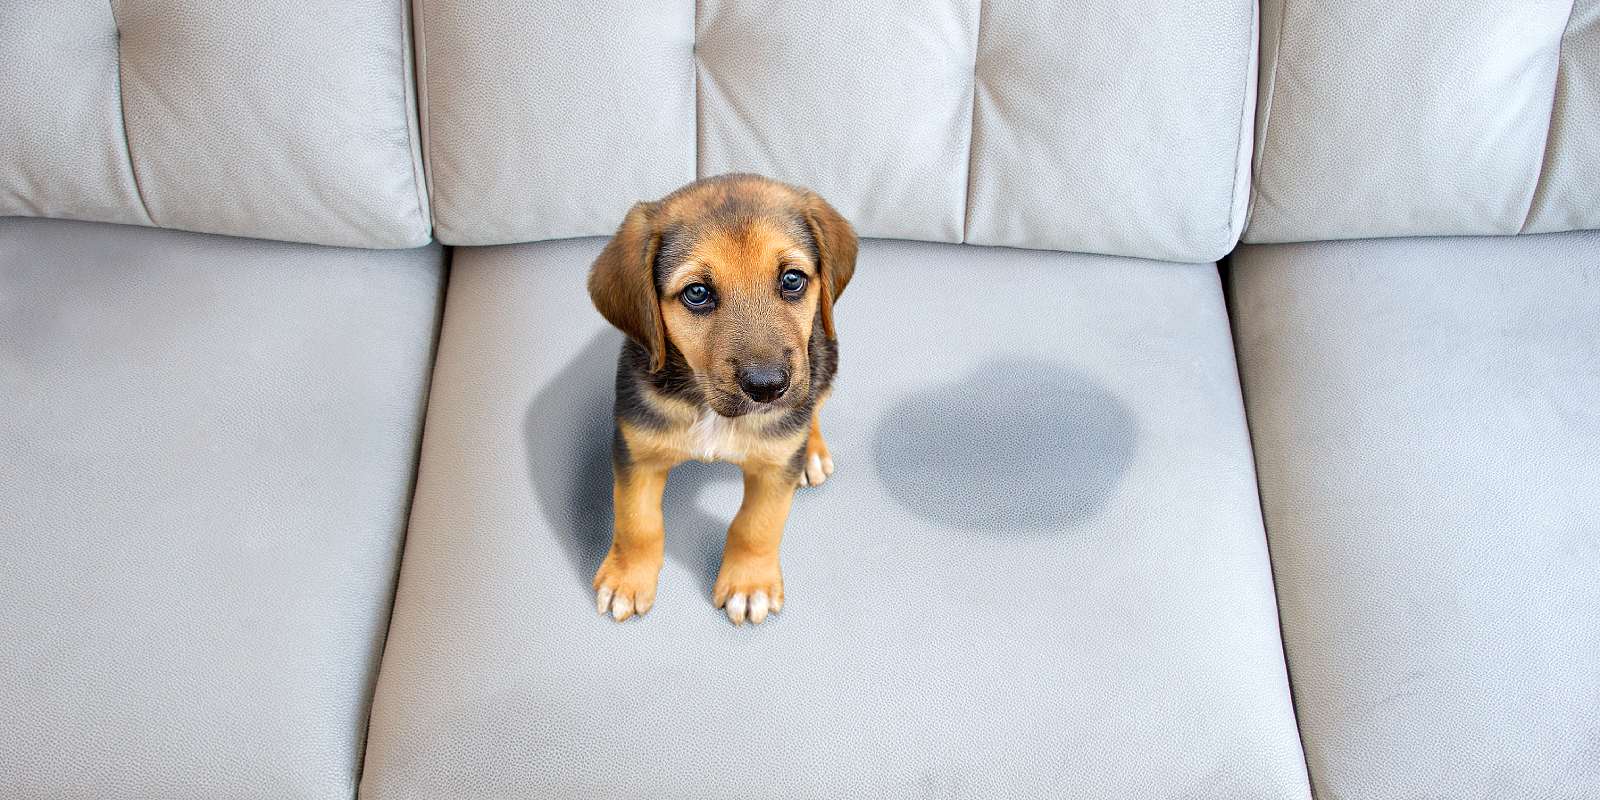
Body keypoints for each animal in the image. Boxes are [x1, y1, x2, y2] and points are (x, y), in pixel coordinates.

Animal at [588, 173, 857, 624]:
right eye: (697, 292)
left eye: (792, 280)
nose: (768, 387)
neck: (710, 409)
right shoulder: (636, 451)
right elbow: (636, 522)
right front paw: (627, 578)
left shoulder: (775, 467)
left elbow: (757, 525)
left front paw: (749, 585)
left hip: (824, 356)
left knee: (815, 402)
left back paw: (813, 451)